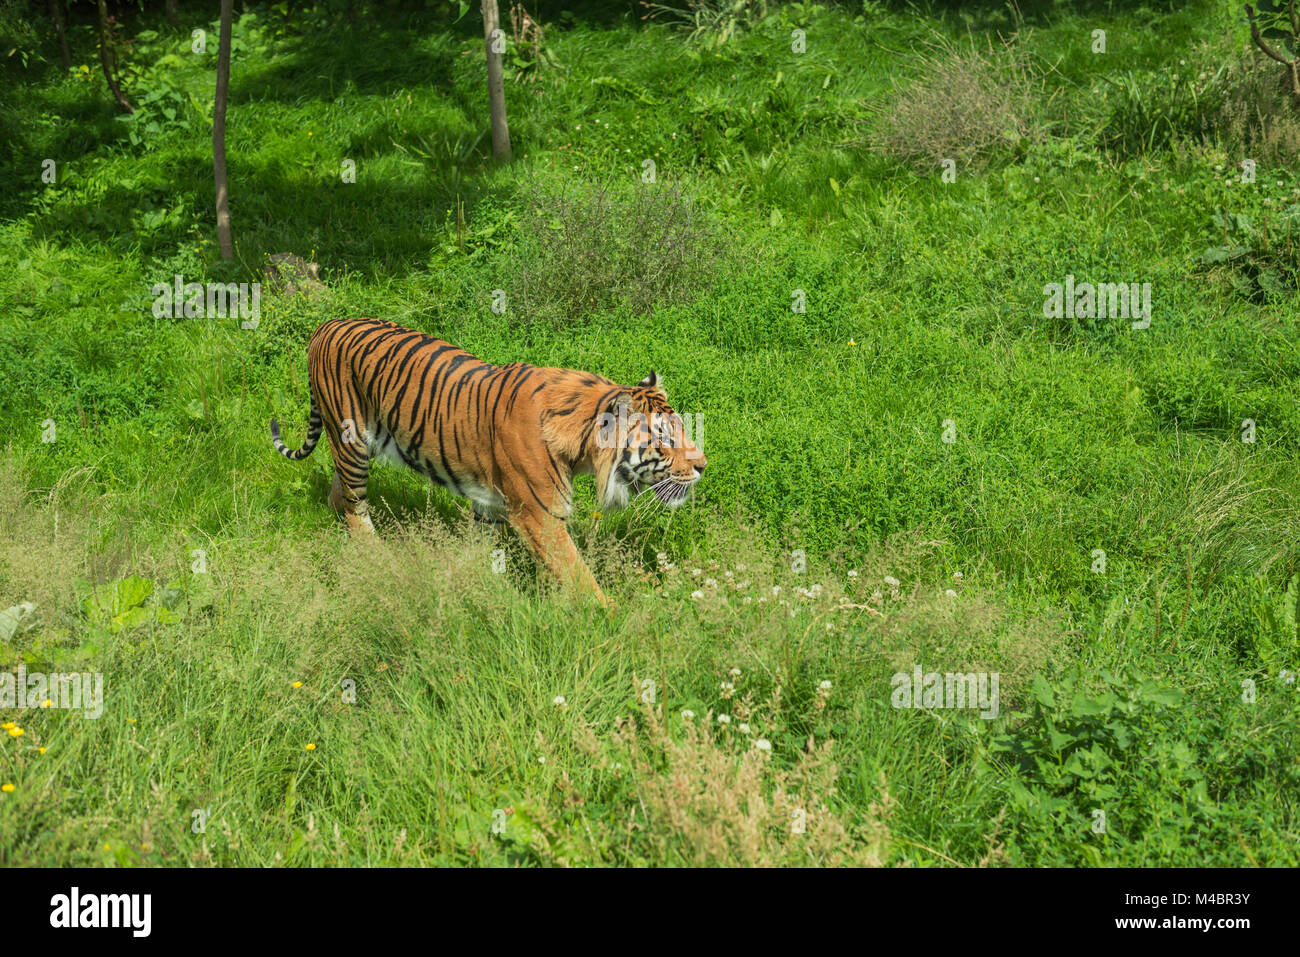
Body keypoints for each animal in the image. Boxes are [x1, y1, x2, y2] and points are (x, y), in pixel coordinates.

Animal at [267, 321, 707, 605]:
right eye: (665, 439)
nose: (703, 465)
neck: (580, 445)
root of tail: (324, 326)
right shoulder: (540, 515)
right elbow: (577, 574)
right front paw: (614, 620)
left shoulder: (491, 505)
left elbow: (477, 550)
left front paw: (463, 582)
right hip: (352, 439)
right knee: (356, 506)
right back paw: (376, 556)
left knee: (339, 495)